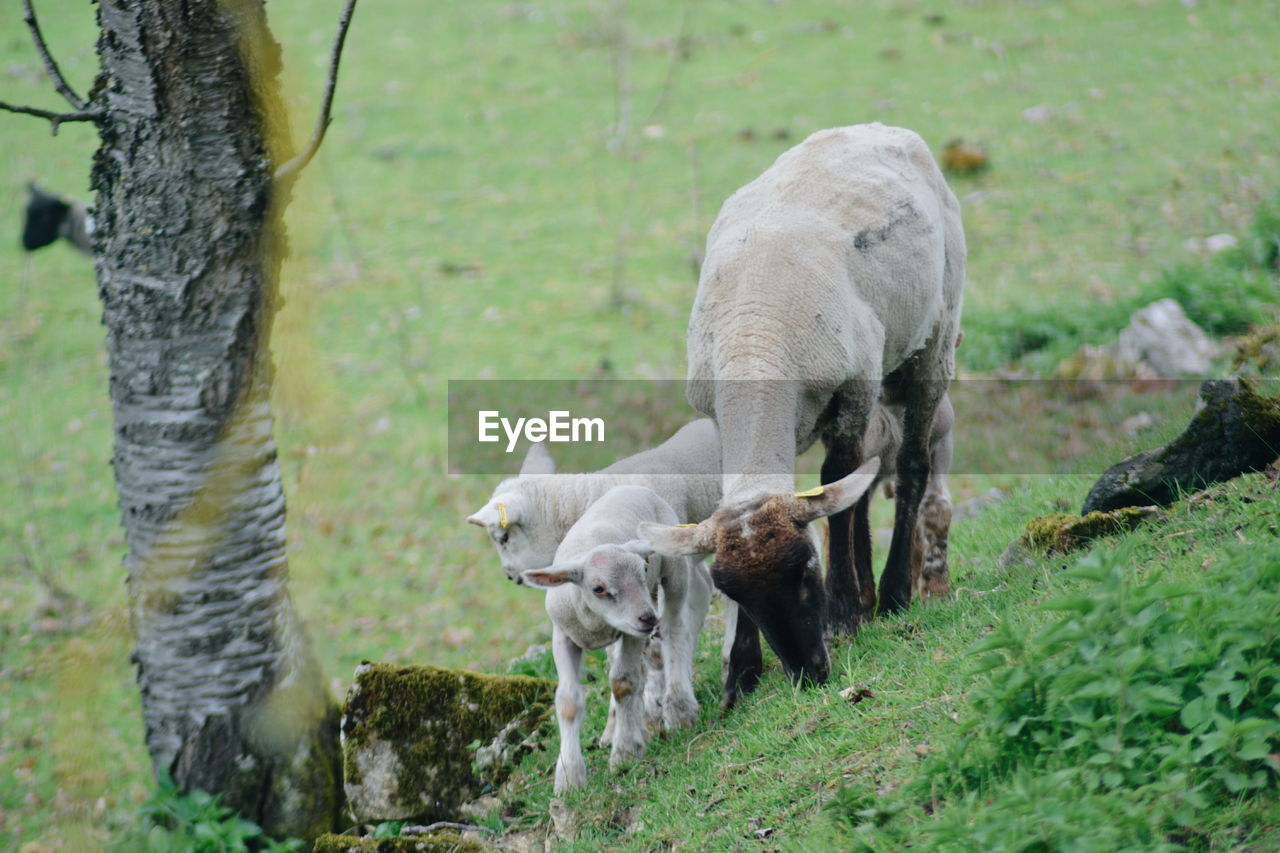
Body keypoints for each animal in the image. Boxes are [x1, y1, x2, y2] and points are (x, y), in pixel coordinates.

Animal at [519, 484, 711, 788]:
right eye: (598, 588)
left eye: (643, 569)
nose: (648, 618)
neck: (595, 622)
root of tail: (634, 487)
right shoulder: (563, 636)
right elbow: (567, 701)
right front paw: (569, 777)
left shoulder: (632, 631)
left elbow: (624, 683)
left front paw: (625, 753)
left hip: (674, 572)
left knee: (675, 629)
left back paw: (678, 708)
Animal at [640, 121, 962, 701]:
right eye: (734, 594)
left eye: (807, 570)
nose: (808, 672)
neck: (755, 338)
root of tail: (876, 127)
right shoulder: (722, 420)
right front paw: (741, 672)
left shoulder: (852, 391)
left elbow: (838, 487)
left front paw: (842, 614)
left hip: (934, 339)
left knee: (910, 466)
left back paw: (890, 595)